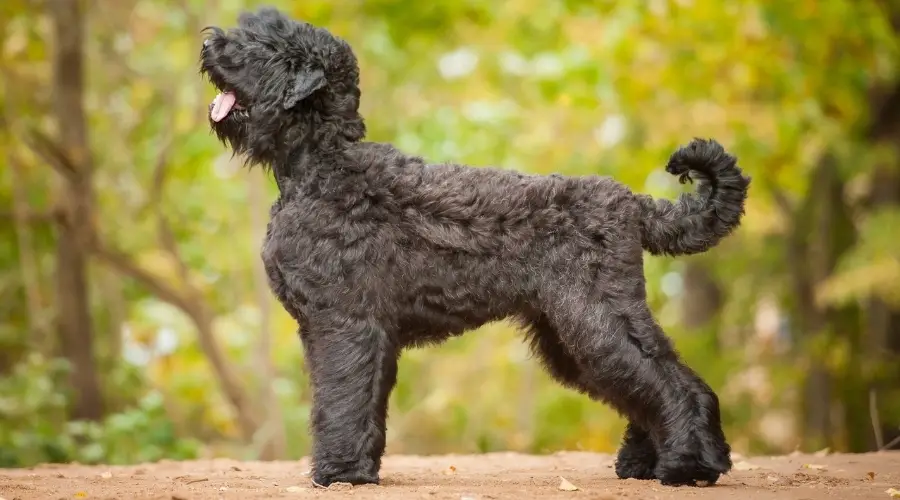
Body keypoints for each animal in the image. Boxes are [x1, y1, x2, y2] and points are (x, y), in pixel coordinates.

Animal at [200, 7, 748, 488]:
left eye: (266, 46)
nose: (210, 43)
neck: (321, 165)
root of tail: (634, 203)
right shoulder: (361, 330)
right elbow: (363, 402)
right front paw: (360, 469)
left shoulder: (342, 322)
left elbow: (340, 397)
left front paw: (338, 473)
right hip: (569, 333)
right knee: (648, 384)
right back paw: (646, 463)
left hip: (594, 318)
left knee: (669, 381)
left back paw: (689, 466)